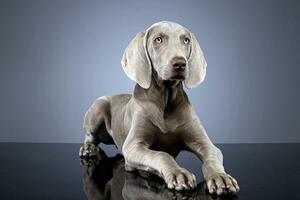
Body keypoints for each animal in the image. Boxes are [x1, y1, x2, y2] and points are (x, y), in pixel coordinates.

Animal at [79, 20, 239, 195]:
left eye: (186, 40)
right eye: (158, 39)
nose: (180, 63)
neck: (165, 101)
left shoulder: (204, 142)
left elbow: (212, 157)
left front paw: (220, 177)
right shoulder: (133, 145)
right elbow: (161, 155)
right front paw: (179, 174)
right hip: (98, 107)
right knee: (90, 137)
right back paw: (88, 149)